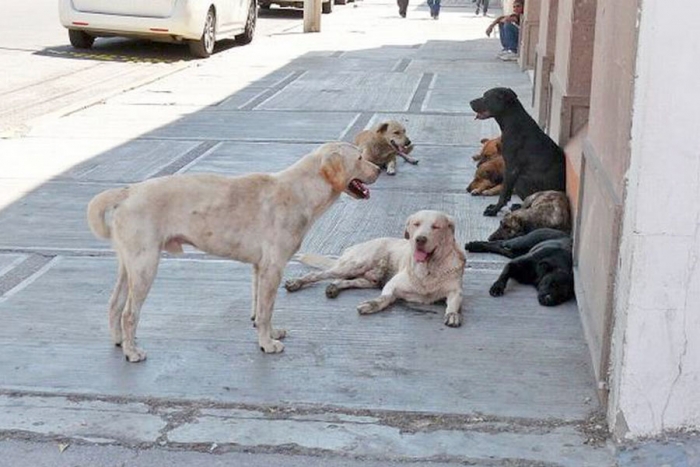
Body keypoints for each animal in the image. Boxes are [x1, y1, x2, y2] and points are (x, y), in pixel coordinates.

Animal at [88, 142, 382, 362]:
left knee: (114, 304)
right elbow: (266, 310)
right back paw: (132, 352)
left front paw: (269, 333)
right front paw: (267, 343)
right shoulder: (274, 267)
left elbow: (260, 308)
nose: (379, 168)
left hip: (129, 265)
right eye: (359, 157)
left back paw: (119, 341)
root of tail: (127, 192)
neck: (301, 191)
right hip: (145, 265)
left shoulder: (260, 268)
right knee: (129, 313)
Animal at [284, 210, 464, 328]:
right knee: (317, 274)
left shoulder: (455, 291)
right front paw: (372, 304)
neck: (429, 268)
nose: (420, 239)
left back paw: (334, 287)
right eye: (416, 224)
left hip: (366, 280)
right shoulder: (392, 285)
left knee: (345, 281)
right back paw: (296, 282)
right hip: (355, 265)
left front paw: (453, 314)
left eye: (436, 227)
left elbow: (454, 303)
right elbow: (384, 298)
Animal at [470, 88, 564, 218]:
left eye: (486, 97)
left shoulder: (511, 168)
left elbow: (504, 192)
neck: (513, 120)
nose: (470, 102)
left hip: (521, 181)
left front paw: (494, 210)